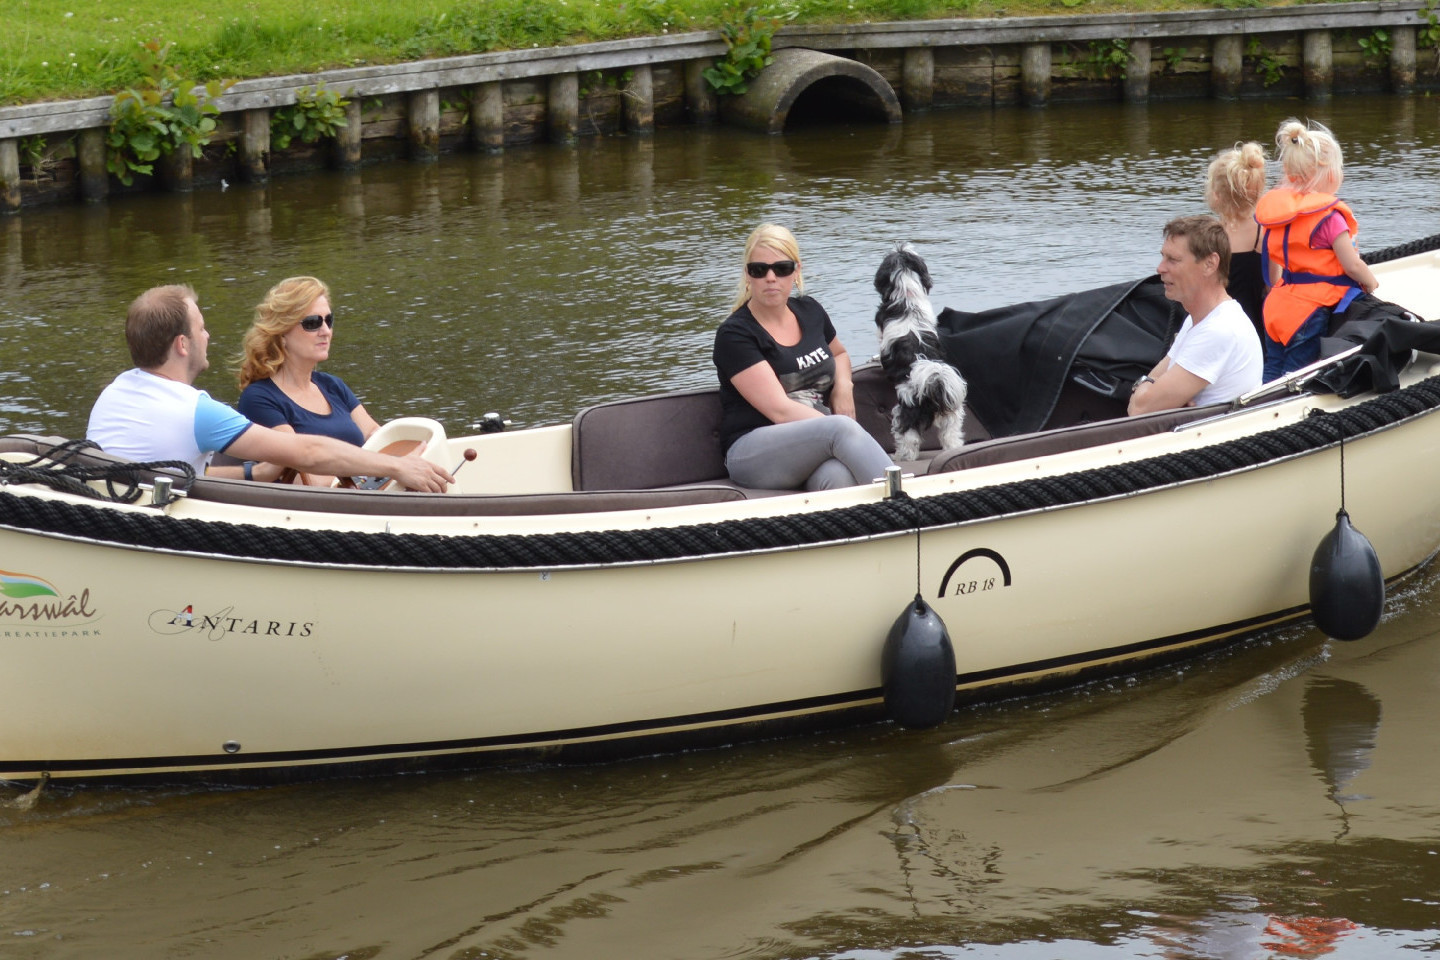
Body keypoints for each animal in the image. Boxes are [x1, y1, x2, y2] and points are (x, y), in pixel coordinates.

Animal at [869, 244, 961, 460]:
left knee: (909, 440)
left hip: (903, 412)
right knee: (951, 437)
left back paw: (901, 457)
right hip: (951, 416)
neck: (906, 297)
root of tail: (933, 385)